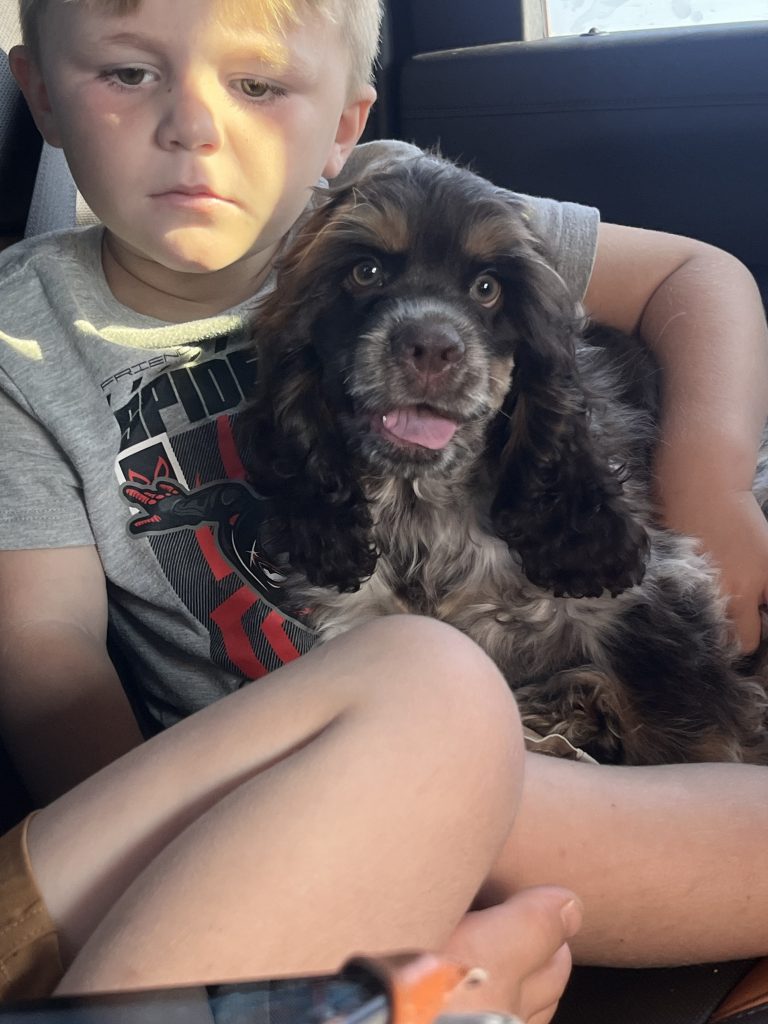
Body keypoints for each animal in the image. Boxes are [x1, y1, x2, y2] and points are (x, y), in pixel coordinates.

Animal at [243, 151, 768, 765]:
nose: (432, 348)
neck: (424, 510)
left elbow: (687, 738)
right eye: (365, 272)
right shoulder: (362, 618)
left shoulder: (653, 610)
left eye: (488, 288)